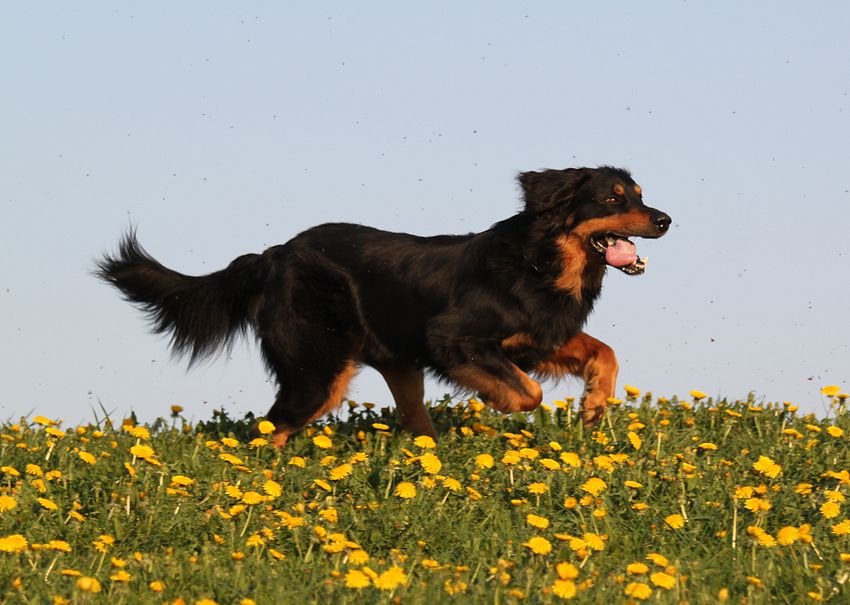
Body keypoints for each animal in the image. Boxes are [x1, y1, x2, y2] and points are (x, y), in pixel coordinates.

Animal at [97, 166, 670, 446]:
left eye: (641, 194)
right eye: (613, 198)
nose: (665, 219)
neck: (542, 260)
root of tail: (274, 254)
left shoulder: (536, 338)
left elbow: (604, 352)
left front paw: (594, 405)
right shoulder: (454, 338)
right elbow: (527, 393)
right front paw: (500, 407)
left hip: (395, 364)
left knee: (411, 420)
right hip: (317, 369)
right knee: (271, 428)